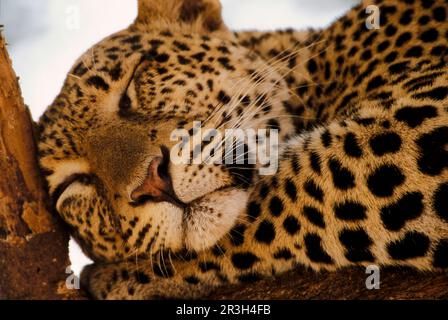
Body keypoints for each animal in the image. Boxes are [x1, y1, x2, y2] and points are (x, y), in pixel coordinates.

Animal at [38, 0, 448, 300]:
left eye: (130, 87)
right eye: (74, 185)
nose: (152, 182)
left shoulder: (424, 118)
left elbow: (291, 190)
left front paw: (120, 277)